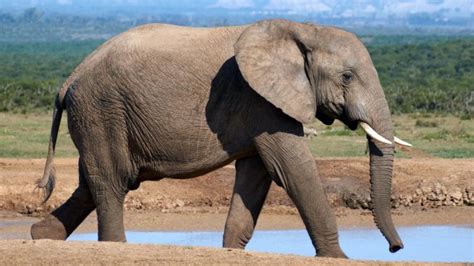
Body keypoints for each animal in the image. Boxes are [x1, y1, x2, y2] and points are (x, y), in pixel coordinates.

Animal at [30, 18, 412, 258]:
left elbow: (256, 175)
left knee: (91, 182)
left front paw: (230, 251)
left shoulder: (260, 107)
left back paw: (41, 236)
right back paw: (114, 246)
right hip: (101, 110)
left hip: (98, 118)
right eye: (347, 76)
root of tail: (69, 79)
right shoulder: (260, 99)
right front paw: (338, 257)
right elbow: (292, 169)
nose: (396, 248)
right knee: (111, 181)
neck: (304, 29)